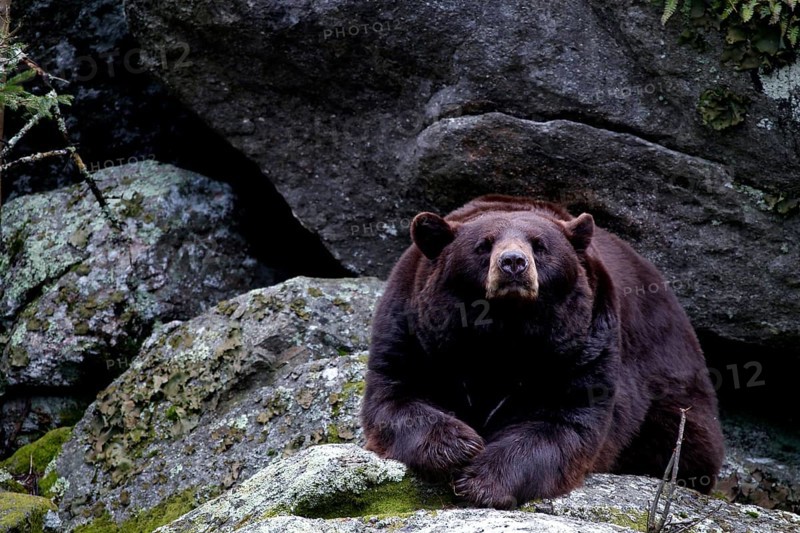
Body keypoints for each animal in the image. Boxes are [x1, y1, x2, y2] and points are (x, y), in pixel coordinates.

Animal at [360, 194, 725, 509]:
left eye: (539, 245)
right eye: (483, 245)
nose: (513, 263)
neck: (504, 331)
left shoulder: (582, 346)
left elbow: (562, 422)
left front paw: (483, 481)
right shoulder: (413, 329)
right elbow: (396, 393)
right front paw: (459, 446)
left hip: (668, 380)